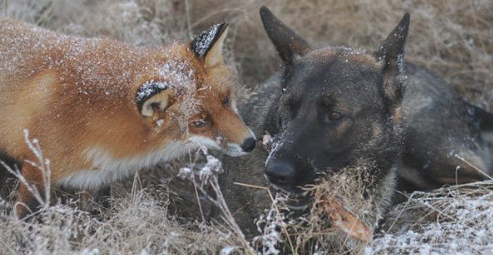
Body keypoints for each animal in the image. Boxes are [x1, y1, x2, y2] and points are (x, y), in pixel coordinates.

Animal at [0, 18, 254, 217]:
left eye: (226, 100)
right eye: (199, 123)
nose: (250, 142)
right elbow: (27, 217)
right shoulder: (37, 168)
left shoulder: (96, 179)